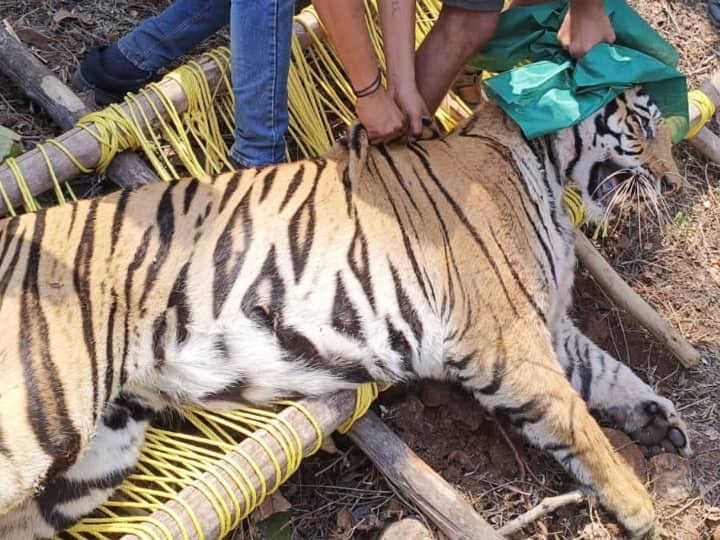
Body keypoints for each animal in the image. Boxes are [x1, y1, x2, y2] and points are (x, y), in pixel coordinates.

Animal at [0, 86, 688, 536]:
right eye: (642, 124)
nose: (676, 184)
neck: (540, 169)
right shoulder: (508, 340)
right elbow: (578, 423)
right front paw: (639, 507)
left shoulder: (548, 326)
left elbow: (611, 373)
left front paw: (661, 423)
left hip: (94, 462)